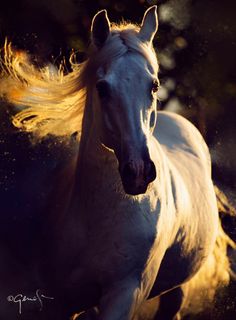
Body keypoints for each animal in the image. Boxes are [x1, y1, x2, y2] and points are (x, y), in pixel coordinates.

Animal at [0, 5, 231, 320]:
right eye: (102, 88)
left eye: (154, 86)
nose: (138, 172)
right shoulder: (62, 300)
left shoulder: (125, 293)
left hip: (176, 292)